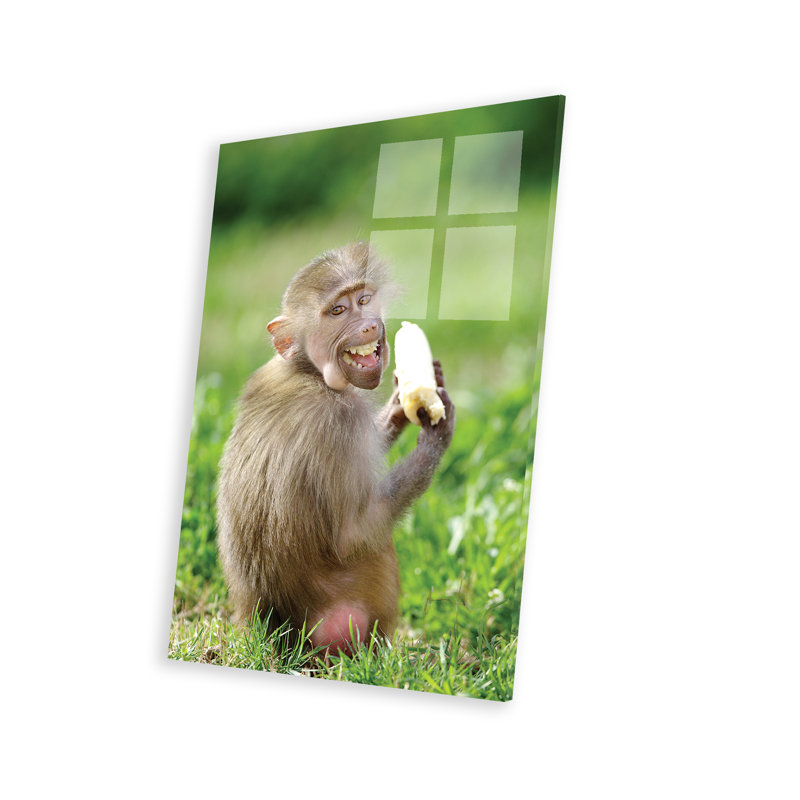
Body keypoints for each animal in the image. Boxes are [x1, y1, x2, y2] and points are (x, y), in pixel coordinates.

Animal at [216, 242, 455, 655]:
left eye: (364, 300)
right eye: (338, 311)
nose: (370, 326)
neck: (308, 371)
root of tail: (277, 636)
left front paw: (400, 406)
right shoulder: (339, 421)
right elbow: (352, 535)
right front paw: (434, 437)